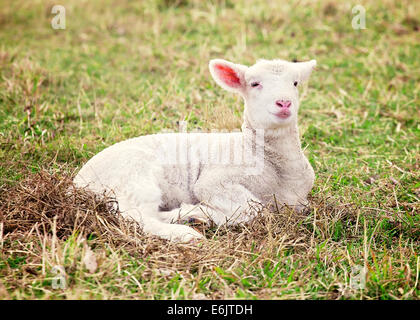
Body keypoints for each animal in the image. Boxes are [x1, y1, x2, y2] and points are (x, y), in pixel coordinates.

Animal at [73, 58, 316, 242]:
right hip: (133, 177)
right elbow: (253, 210)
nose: (284, 103)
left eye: (295, 83)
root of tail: (77, 183)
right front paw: (196, 213)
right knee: (135, 217)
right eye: (255, 84)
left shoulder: (298, 202)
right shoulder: (214, 182)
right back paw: (186, 232)